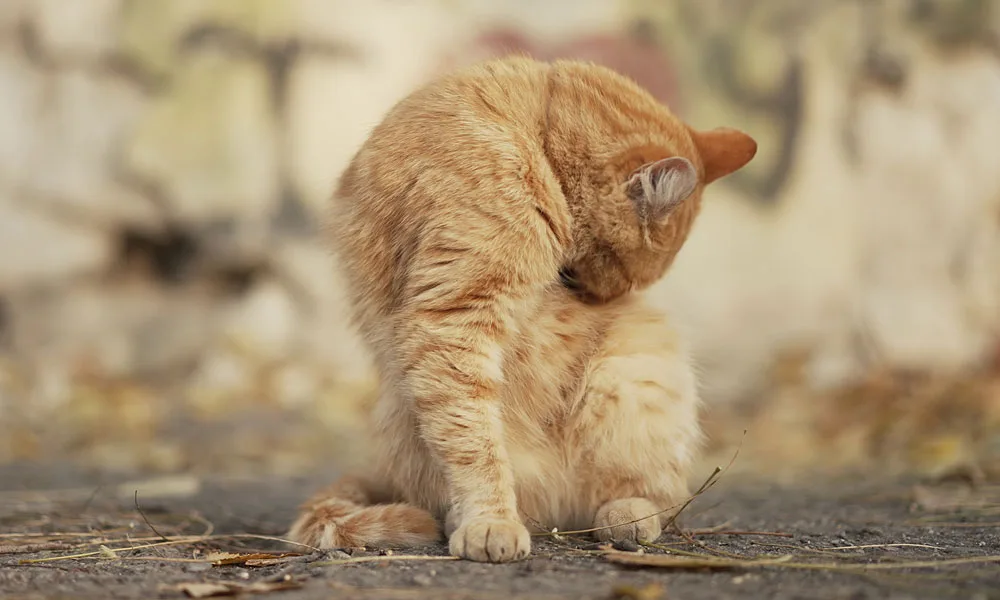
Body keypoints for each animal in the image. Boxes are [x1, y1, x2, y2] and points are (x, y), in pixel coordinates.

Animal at [292, 55, 756, 564]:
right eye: (625, 272)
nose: (603, 301)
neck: (537, 129)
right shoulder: (457, 320)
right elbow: (474, 443)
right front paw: (490, 521)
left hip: (635, 361)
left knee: (647, 496)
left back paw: (628, 517)